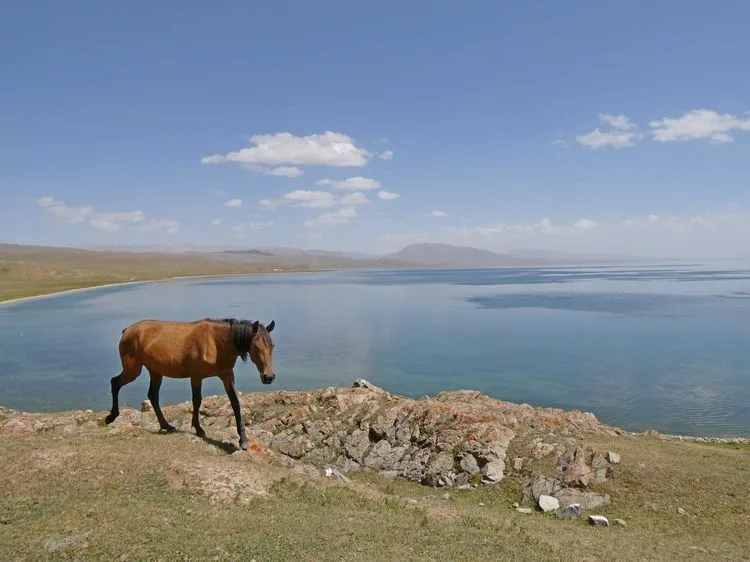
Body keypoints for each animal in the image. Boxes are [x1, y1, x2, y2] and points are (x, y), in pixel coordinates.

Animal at [104, 317, 276, 450]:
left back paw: (166, 425)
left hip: (155, 371)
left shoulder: (227, 375)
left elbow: (235, 403)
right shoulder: (196, 377)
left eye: (272, 345)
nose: (269, 377)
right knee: (115, 383)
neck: (216, 343)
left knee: (152, 395)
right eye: (256, 346)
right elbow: (197, 400)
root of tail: (127, 330)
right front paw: (198, 429)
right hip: (133, 369)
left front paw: (243, 440)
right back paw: (111, 417)